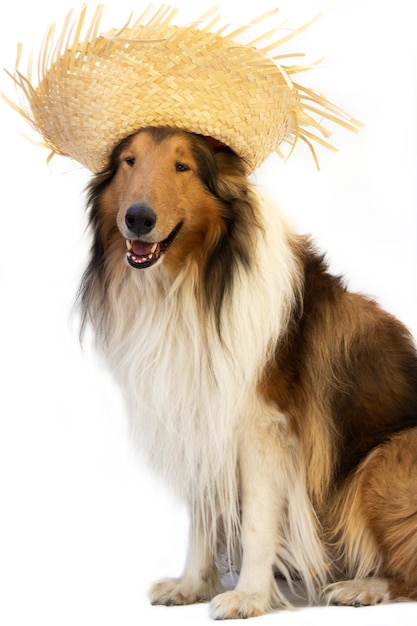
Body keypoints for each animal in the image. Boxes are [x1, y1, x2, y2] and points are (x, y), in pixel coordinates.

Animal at [79, 124, 416, 616]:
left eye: (182, 166)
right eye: (129, 161)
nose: (138, 219)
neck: (193, 279)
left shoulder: (263, 431)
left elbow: (259, 521)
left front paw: (248, 596)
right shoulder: (200, 416)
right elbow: (202, 518)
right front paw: (192, 586)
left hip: (384, 460)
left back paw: (362, 587)